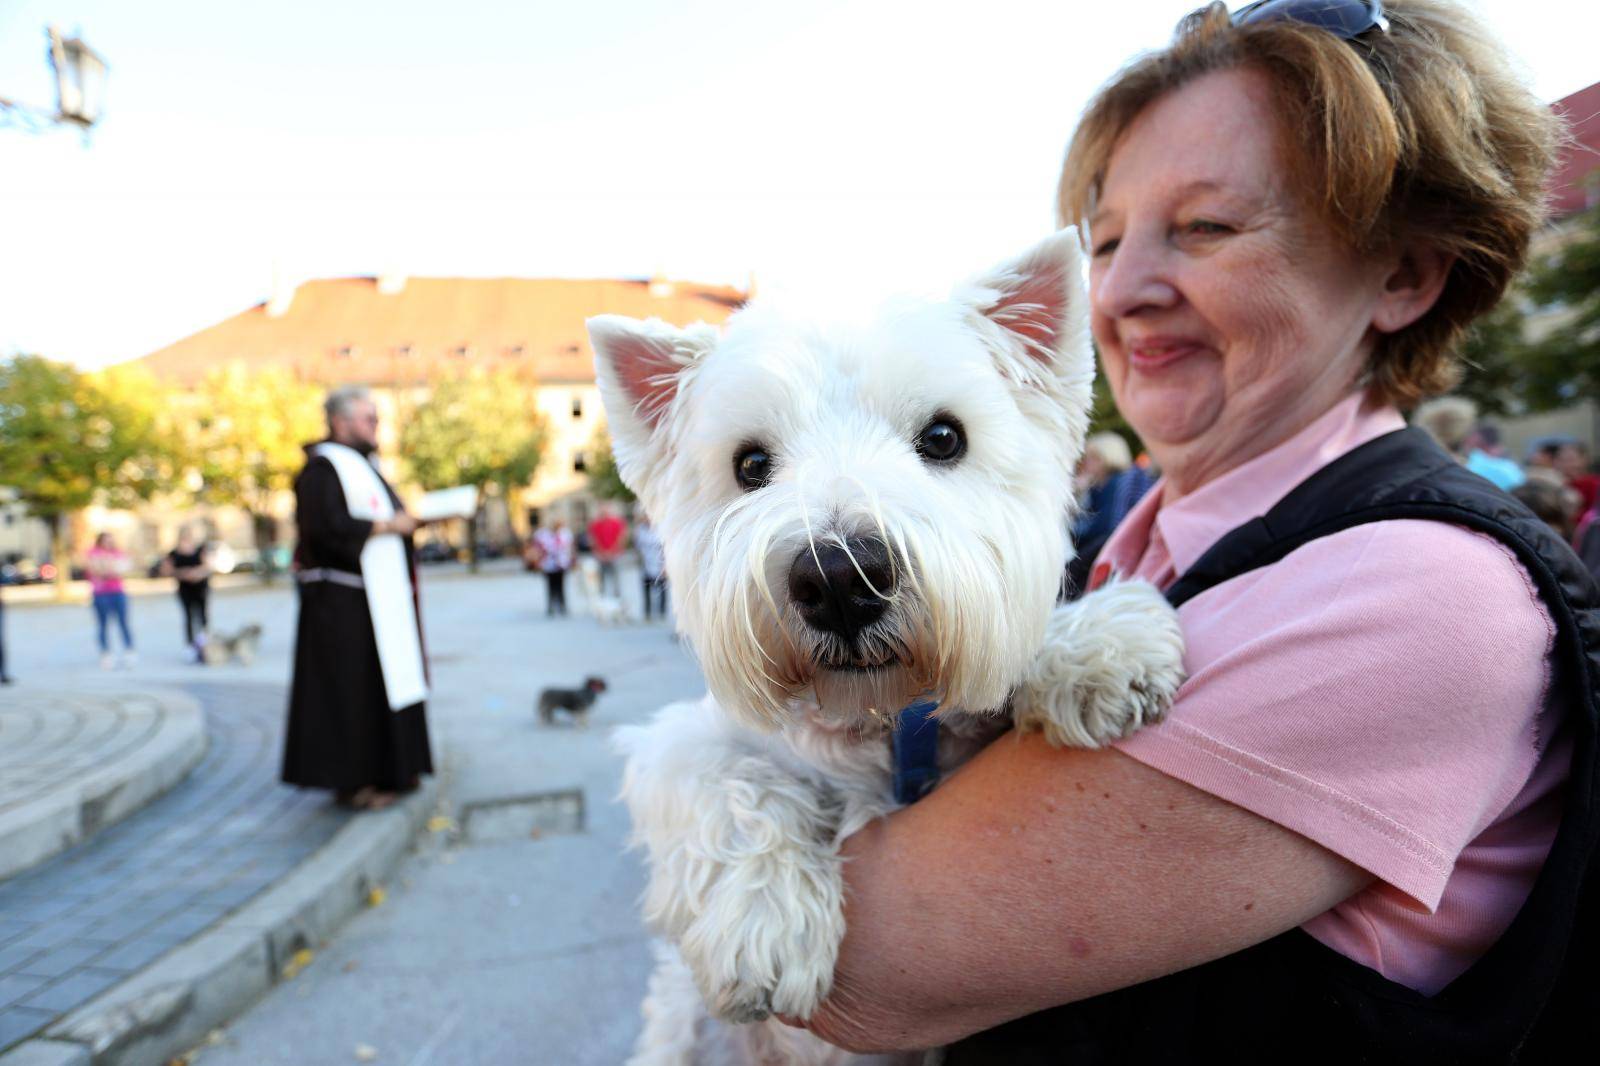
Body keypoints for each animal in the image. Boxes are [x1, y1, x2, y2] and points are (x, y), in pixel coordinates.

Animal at [592, 228, 1190, 1056]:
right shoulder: (680, 740)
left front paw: (1101, 647)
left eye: (943, 437)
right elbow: (727, 779)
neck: (882, 720)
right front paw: (764, 920)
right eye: (750, 464)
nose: (840, 579)